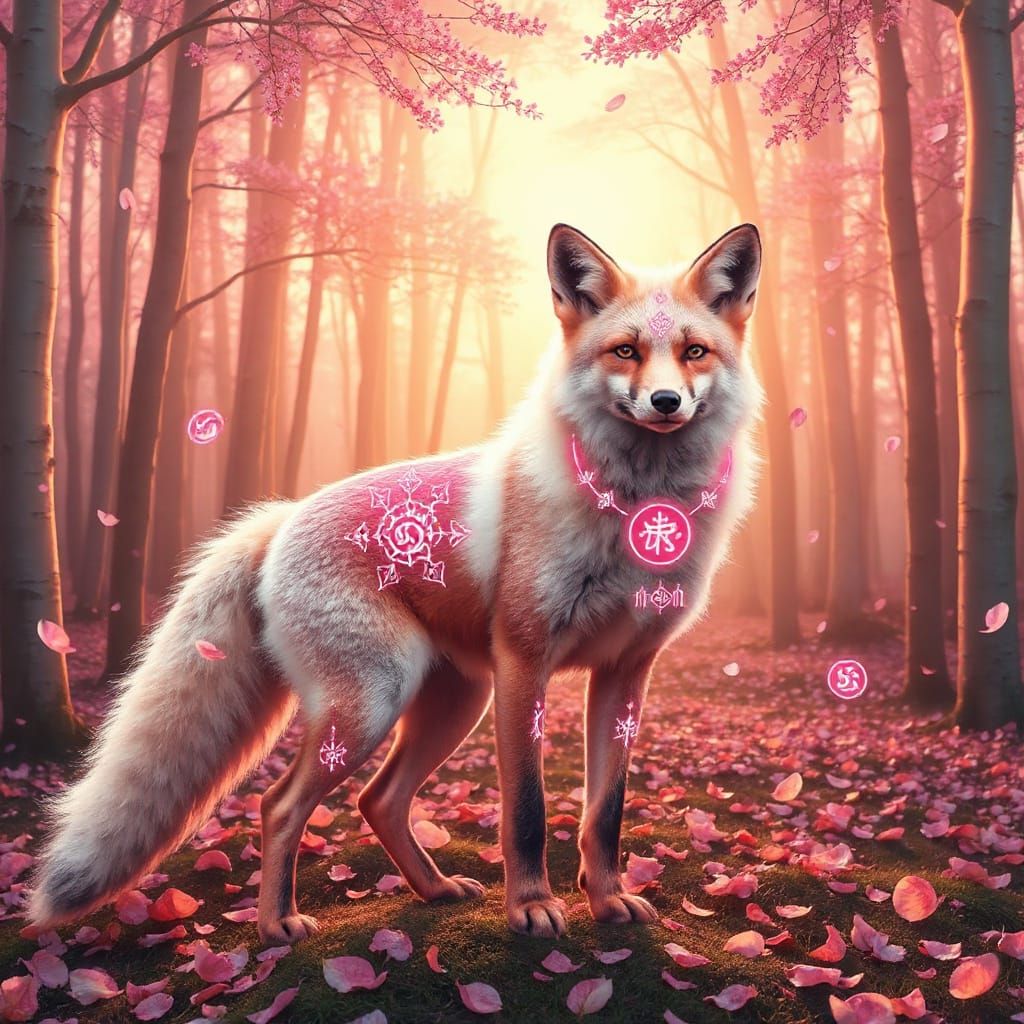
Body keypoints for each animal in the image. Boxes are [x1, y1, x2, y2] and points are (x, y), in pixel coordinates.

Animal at [30, 222, 763, 944]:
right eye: (625, 351)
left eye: (695, 352)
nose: (665, 401)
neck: (629, 513)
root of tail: (283, 516)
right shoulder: (524, 659)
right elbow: (526, 811)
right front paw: (530, 908)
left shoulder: (626, 672)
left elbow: (604, 814)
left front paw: (608, 902)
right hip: (376, 701)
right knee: (279, 804)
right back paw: (276, 925)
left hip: (454, 701)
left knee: (376, 800)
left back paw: (434, 891)